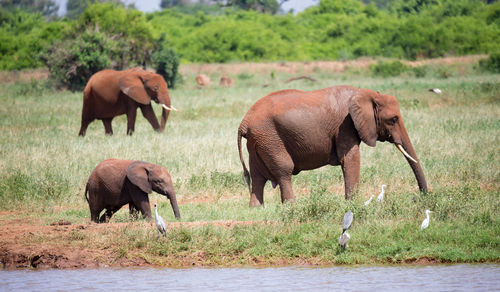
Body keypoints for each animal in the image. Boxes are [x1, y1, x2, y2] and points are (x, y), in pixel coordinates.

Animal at [238, 85, 426, 206]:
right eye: (393, 119)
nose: (420, 197)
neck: (367, 94)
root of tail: (244, 122)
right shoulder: (346, 125)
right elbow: (350, 158)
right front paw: (351, 205)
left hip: (258, 141)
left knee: (257, 176)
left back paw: (256, 209)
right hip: (270, 138)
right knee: (284, 170)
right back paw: (292, 207)